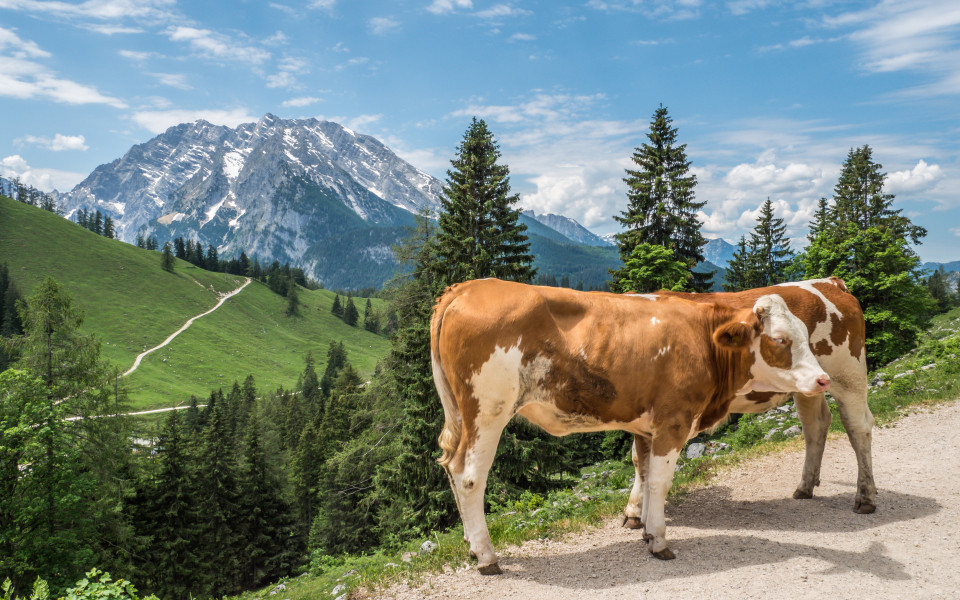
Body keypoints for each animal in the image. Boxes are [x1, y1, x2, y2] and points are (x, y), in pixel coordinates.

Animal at [431, 278, 829, 573]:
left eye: (806, 336)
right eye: (780, 339)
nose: (822, 379)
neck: (701, 337)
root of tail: (468, 287)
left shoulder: (648, 426)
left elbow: (645, 471)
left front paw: (646, 531)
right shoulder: (673, 419)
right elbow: (659, 480)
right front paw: (660, 541)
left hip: (461, 414)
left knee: (450, 467)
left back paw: (471, 546)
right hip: (488, 411)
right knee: (469, 477)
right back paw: (486, 556)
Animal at [621, 277, 875, 532]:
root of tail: (830, 282)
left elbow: (643, 462)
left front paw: (636, 512)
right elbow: (639, 460)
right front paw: (636, 511)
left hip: (848, 374)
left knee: (858, 427)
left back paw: (865, 497)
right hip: (809, 386)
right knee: (816, 425)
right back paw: (805, 487)